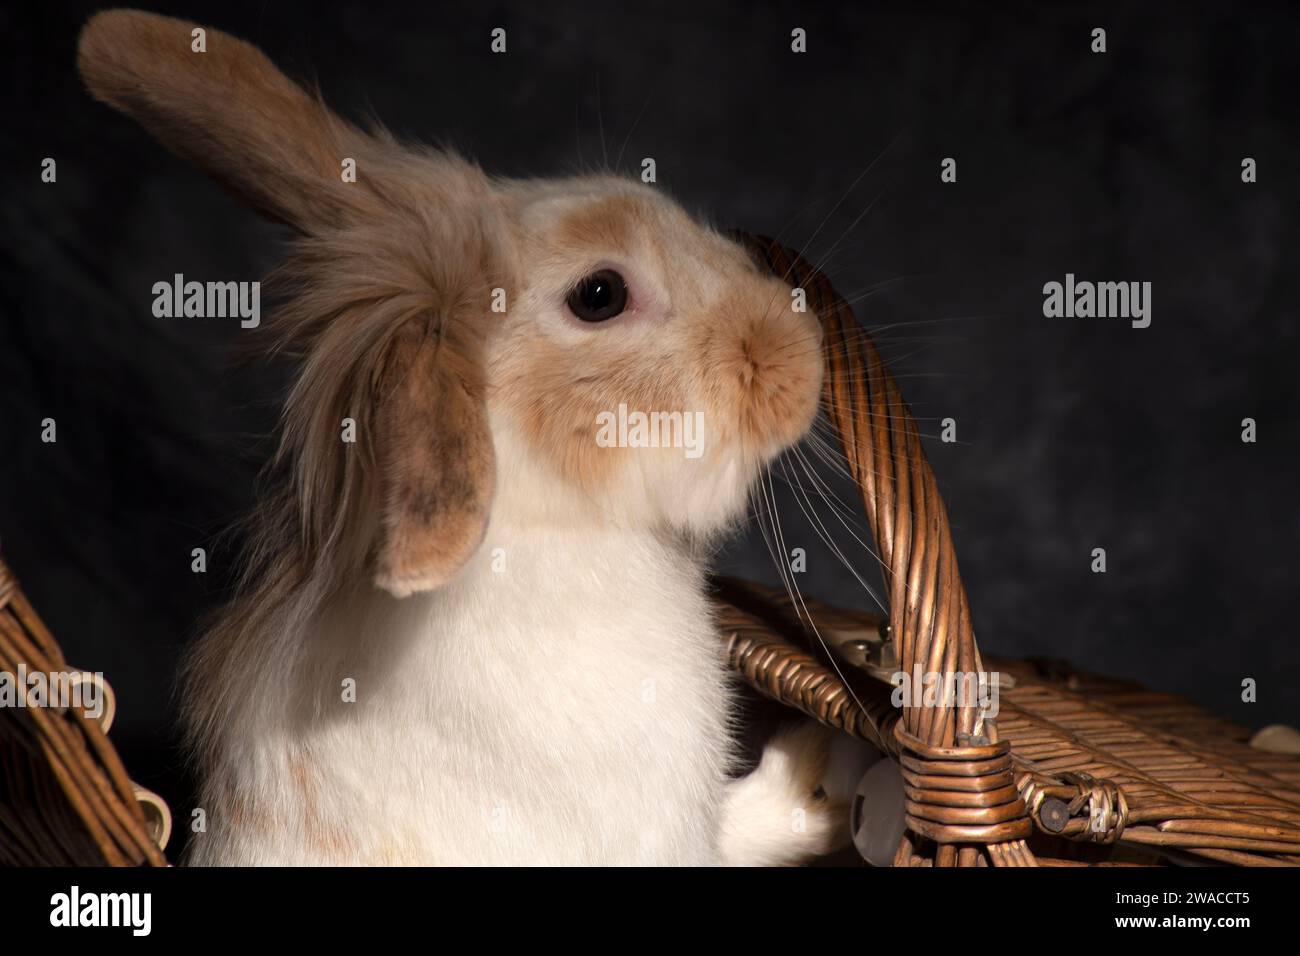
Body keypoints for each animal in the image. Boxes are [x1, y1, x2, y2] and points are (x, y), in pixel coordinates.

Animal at [78, 9, 861, 865]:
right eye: (599, 294)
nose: (805, 342)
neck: (554, 513)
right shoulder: (667, 833)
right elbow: (741, 827)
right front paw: (813, 774)